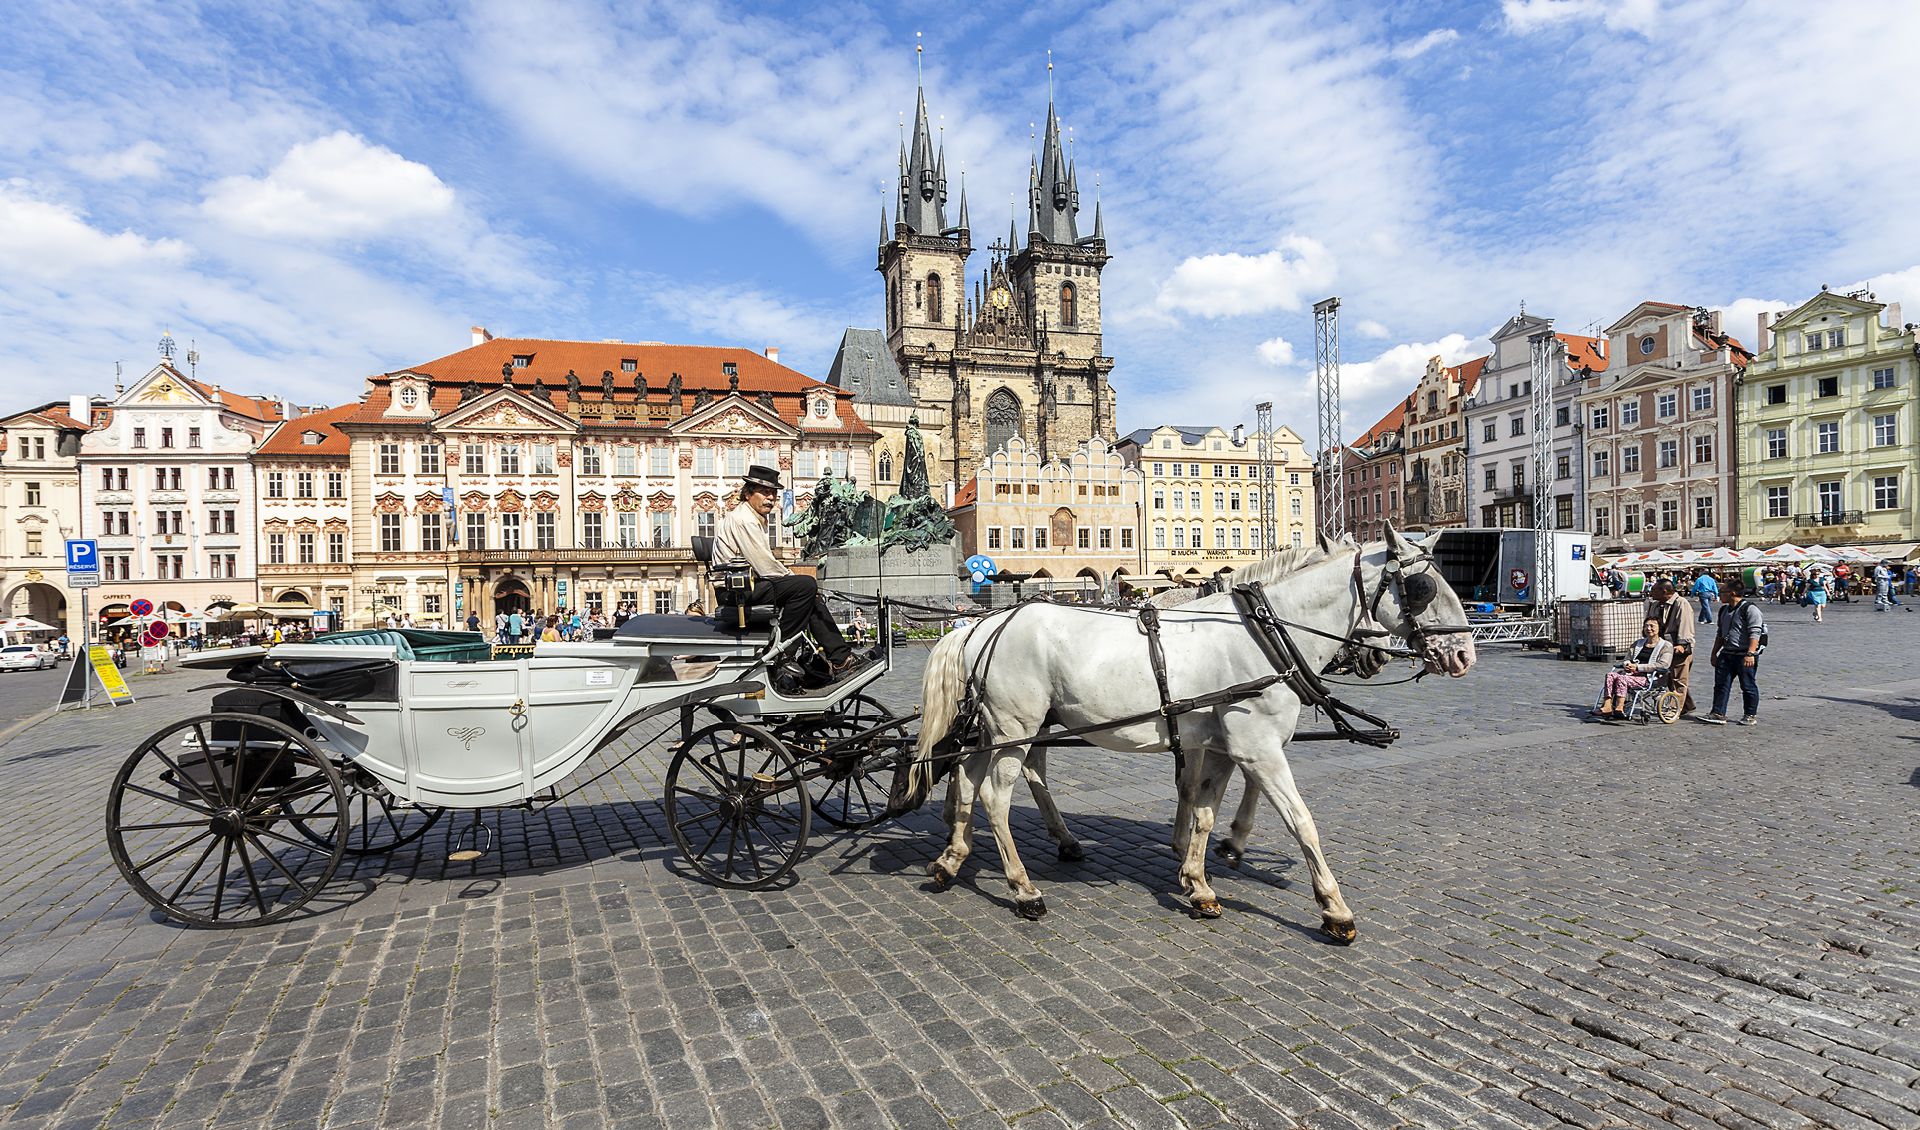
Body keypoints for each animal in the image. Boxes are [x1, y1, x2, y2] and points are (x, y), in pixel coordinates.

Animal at [898, 529, 1466, 943]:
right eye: (1424, 590)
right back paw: (1023, 889)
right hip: (1015, 731)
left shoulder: (1219, 747)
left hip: (1001, 729)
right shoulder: (1258, 750)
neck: (1264, 635)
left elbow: (1204, 809)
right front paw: (1334, 909)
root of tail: (981, 626)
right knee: (995, 795)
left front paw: (1198, 882)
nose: (1463, 654)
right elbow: (1301, 823)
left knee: (968, 779)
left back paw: (952, 859)